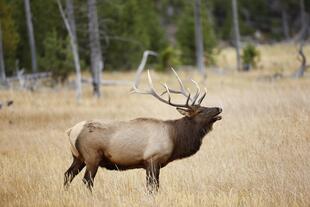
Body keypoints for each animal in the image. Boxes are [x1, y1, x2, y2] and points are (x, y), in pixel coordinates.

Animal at [64, 69, 222, 192]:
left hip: (78, 157)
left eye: (204, 107)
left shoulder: (151, 164)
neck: (175, 138)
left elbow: (153, 187)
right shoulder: (152, 159)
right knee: (87, 180)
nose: (219, 108)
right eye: (200, 111)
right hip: (92, 156)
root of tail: (71, 131)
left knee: (67, 174)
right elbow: (152, 187)